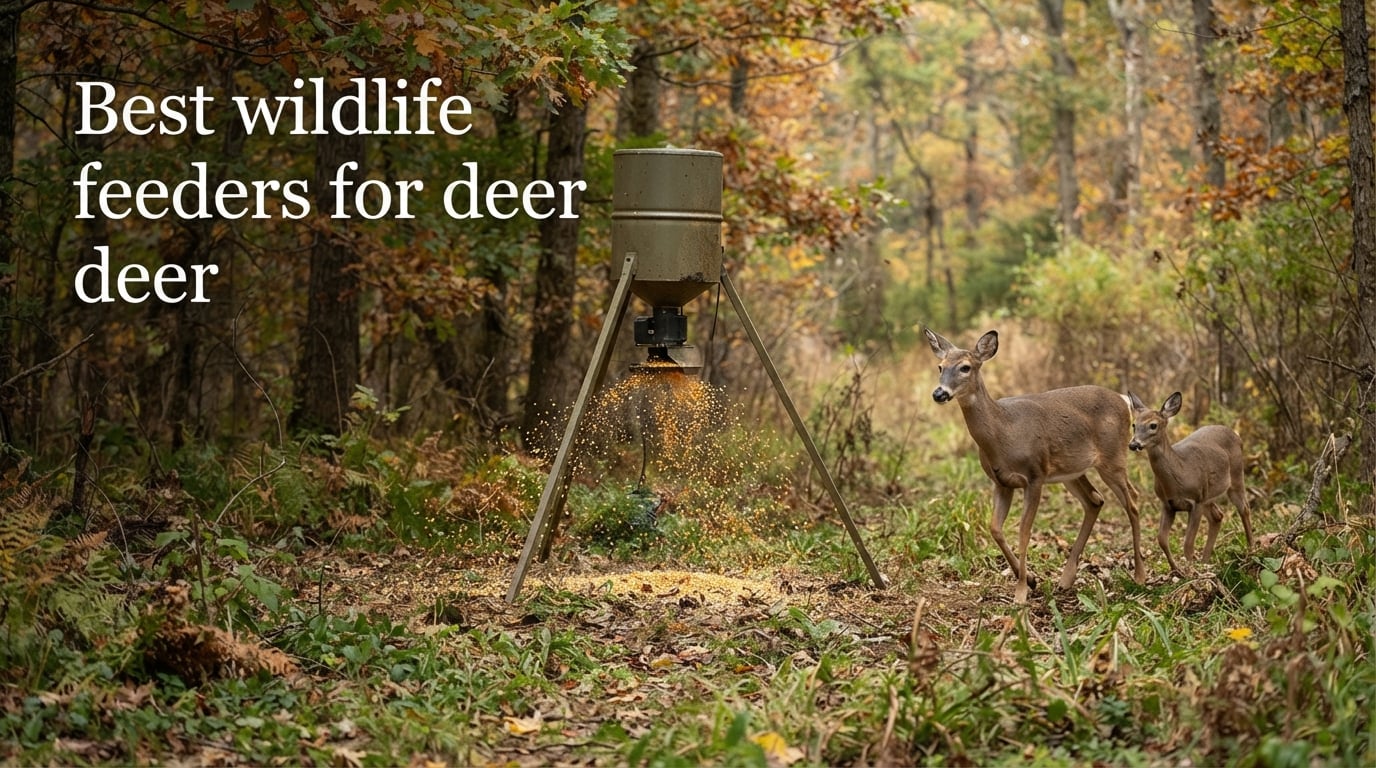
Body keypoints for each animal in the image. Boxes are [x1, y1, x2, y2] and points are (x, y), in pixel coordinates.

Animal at [924, 329, 1145, 603]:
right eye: (940, 366)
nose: (939, 393)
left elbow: (1023, 532)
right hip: (1071, 471)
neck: (1003, 432)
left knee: (1132, 500)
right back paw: (1066, 579)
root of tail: (1124, 400)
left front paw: (1020, 594)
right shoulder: (1001, 482)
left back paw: (1139, 575)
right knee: (1095, 500)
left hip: (1112, 457)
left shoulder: (1035, 476)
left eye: (965, 367)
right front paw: (1029, 579)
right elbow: (995, 529)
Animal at [1127, 391, 1254, 576]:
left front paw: (1190, 572)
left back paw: (1251, 550)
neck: (1179, 472)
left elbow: (1187, 543)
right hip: (1208, 493)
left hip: (1236, 477)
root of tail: (1236, 435)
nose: (1133, 444)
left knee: (1244, 508)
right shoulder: (1168, 504)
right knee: (1218, 516)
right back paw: (1205, 562)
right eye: (1134, 425)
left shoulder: (1196, 500)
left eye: (1153, 425)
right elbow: (1162, 539)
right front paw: (1177, 570)